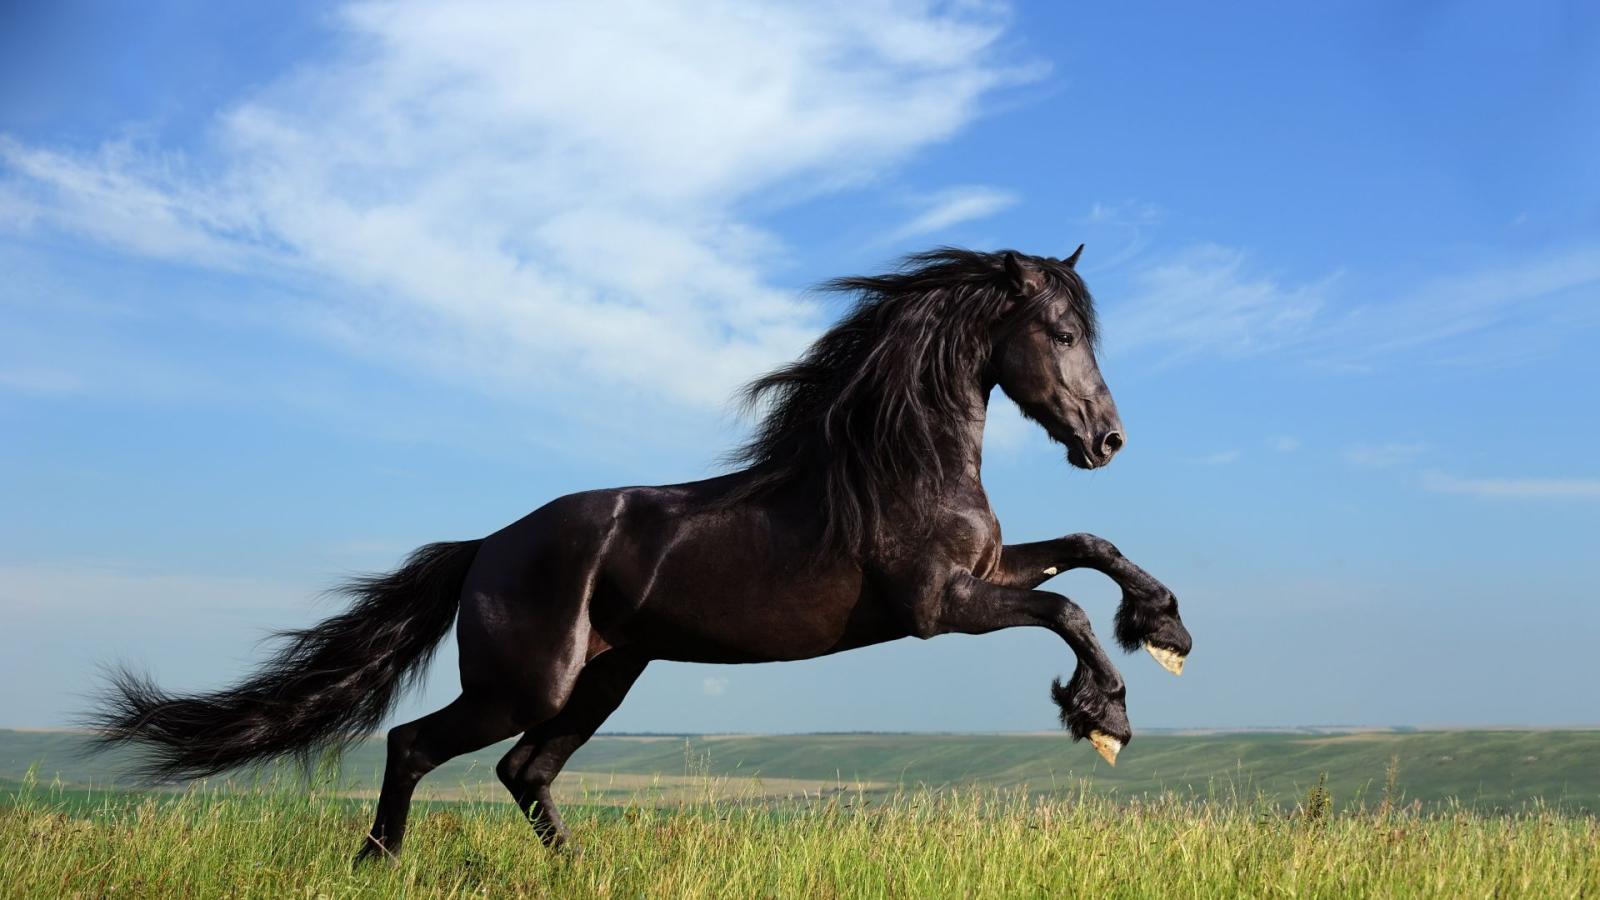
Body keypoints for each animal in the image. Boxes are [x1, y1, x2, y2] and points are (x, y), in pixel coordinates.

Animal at [91, 246, 1193, 862]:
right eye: (1059, 333)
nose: (1106, 441)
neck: (897, 464)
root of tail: (484, 548)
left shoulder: (986, 572)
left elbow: (1088, 549)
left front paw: (1166, 630)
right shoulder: (938, 606)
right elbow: (1065, 608)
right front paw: (1103, 716)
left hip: (606, 678)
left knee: (525, 772)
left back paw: (574, 874)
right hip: (526, 682)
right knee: (418, 746)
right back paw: (376, 864)